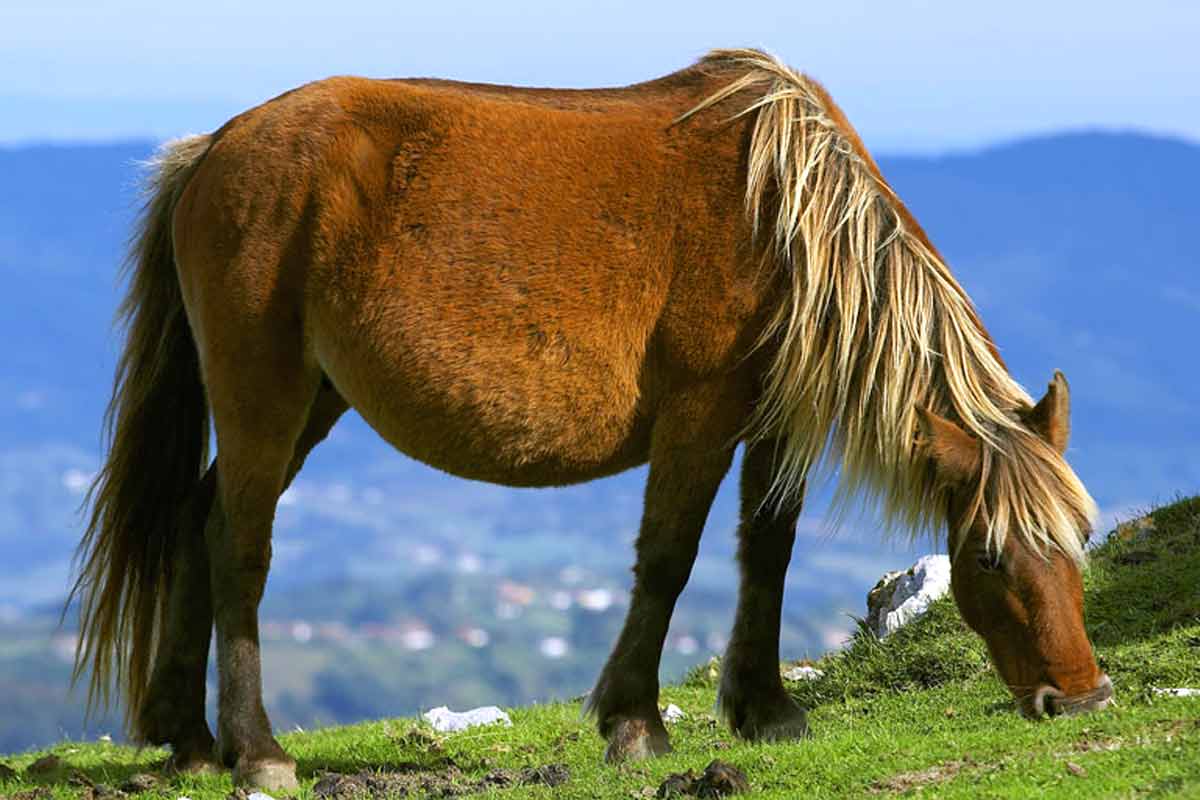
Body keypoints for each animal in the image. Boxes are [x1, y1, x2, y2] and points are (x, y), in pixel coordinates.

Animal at [71, 49, 1112, 790]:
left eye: (1082, 540)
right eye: (988, 557)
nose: (1080, 697)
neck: (785, 220)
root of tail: (213, 148)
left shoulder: (774, 428)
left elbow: (766, 553)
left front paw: (765, 708)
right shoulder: (698, 420)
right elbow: (670, 560)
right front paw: (635, 722)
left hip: (313, 401)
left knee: (198, 521)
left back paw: (187, 738)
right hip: (264, 391)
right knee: (239, 545)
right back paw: (257, 751)